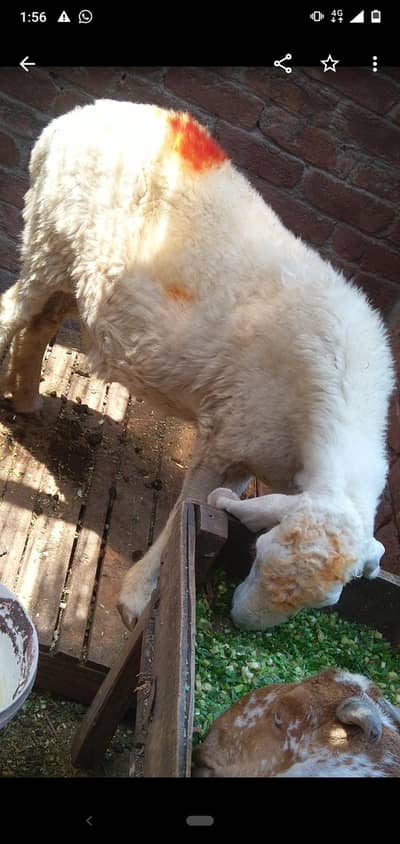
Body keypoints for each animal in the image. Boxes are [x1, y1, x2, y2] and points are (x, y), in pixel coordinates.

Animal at [0, 99, 394, 630]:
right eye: (259, 555)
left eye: (326, 603)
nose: (242, 624)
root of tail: (69, 120)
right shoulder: (228, 436)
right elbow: (188, 509)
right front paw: (138, 598)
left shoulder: (254, 451)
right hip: (48, 240)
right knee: (12, 312)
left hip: (72, 267)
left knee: (40, 325)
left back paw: (22, 397)